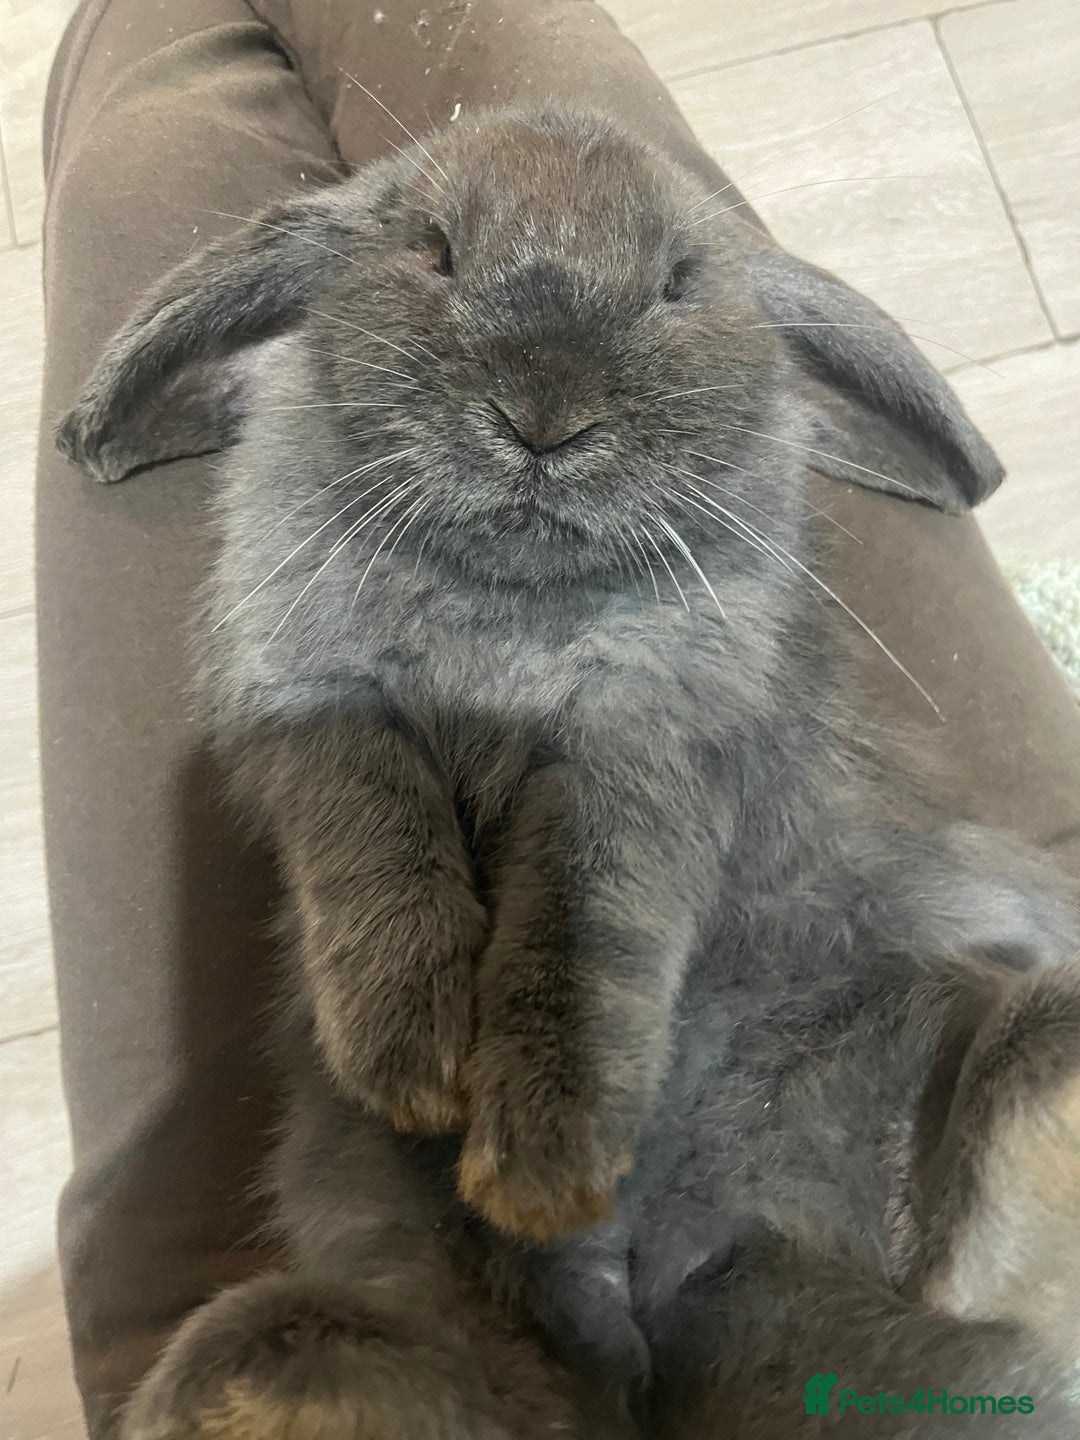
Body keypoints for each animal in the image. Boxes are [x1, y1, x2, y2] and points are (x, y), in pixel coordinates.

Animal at [58, 106, 1080, 1437]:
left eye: (679, 284)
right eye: (433, 249)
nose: (543, 418)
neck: (510, 601)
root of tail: (666, 1311)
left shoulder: (637, 760)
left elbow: (579, 946)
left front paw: (540, 1167)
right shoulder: (321, 708)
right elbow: (378, 850)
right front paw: (410, 1064)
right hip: (326, 1332)